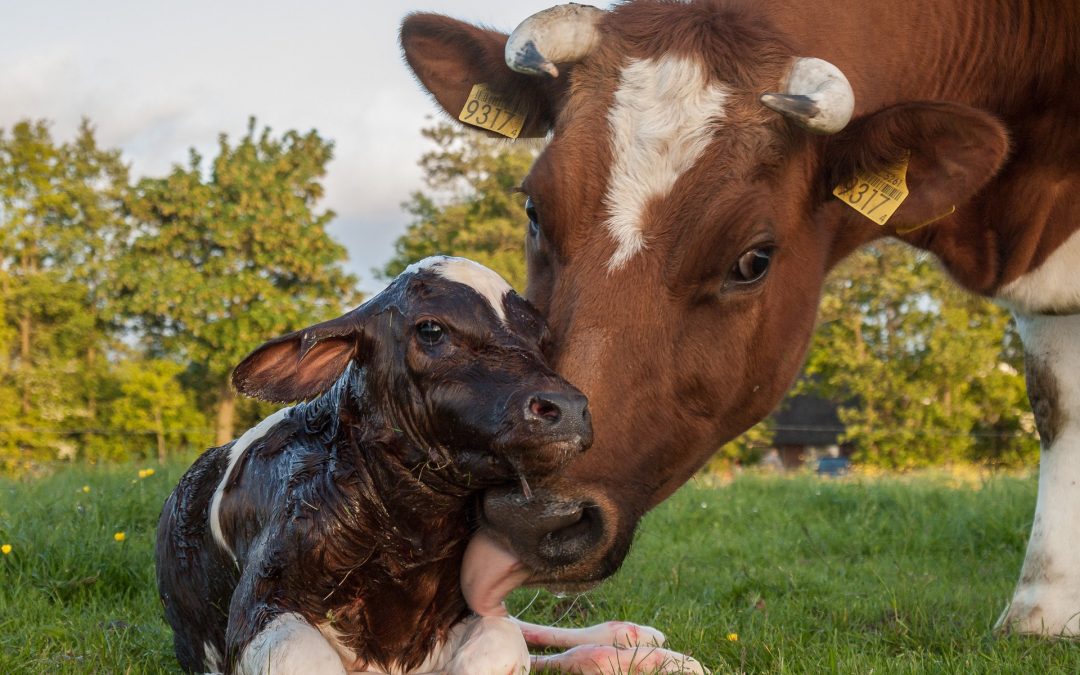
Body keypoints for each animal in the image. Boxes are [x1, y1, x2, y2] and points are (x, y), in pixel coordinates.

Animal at [154, 258, 591, 673]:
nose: (568, 408)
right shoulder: (261, 602)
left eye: (541, 338)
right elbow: (302, 656)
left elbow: (500, 645)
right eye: (430, 329)